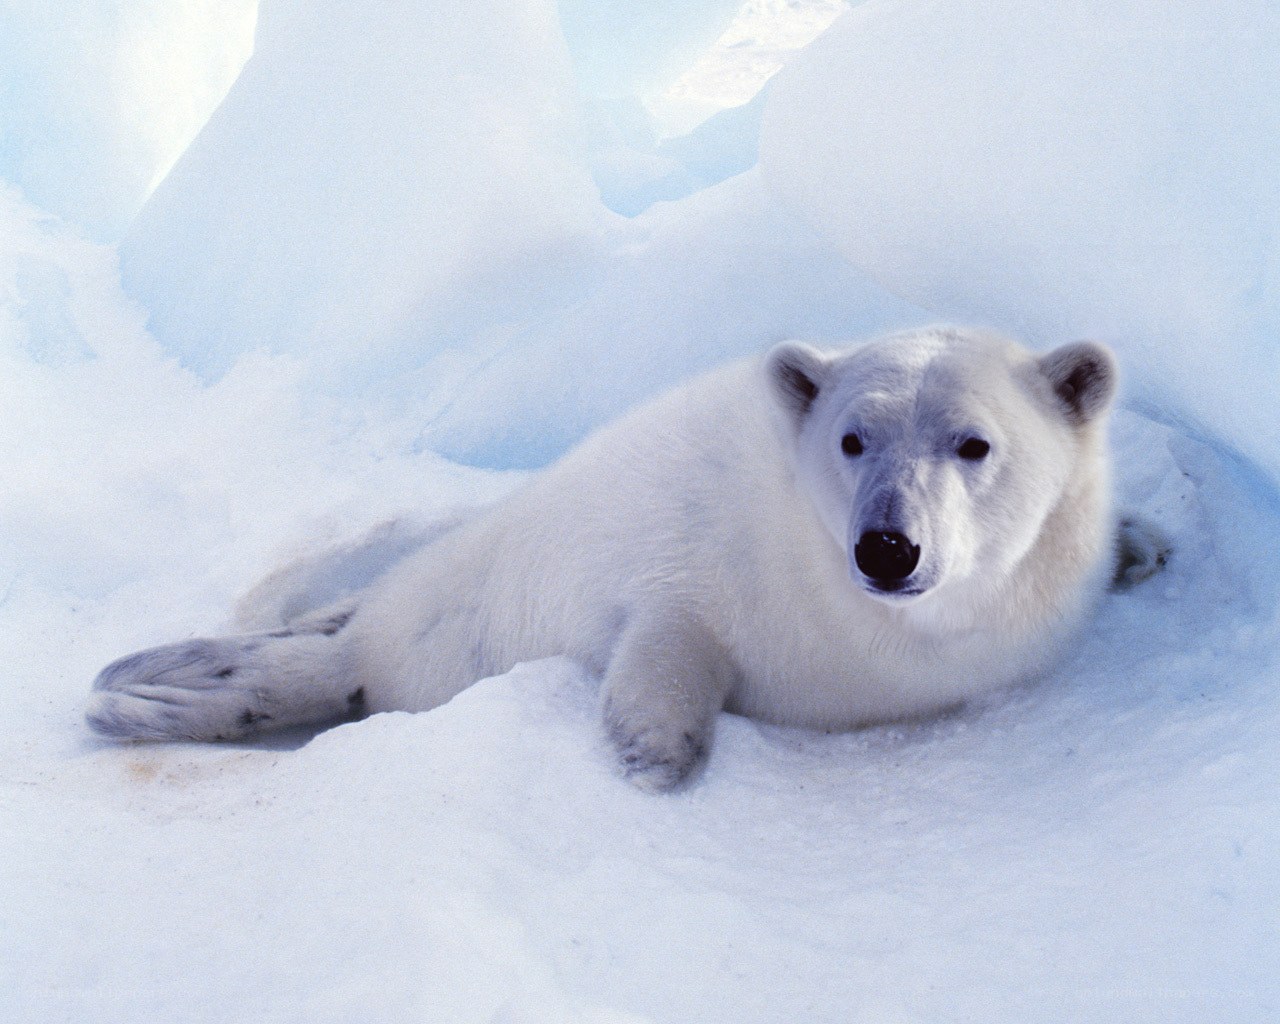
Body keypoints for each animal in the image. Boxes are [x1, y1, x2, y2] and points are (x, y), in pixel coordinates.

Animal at [88, 326, 1129, 791]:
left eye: (974, 444)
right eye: (850, 439)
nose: (885, 543)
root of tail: (366, 643)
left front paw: (1144, 546)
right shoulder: (679, 581)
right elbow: (665, 641)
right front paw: (655, 754)